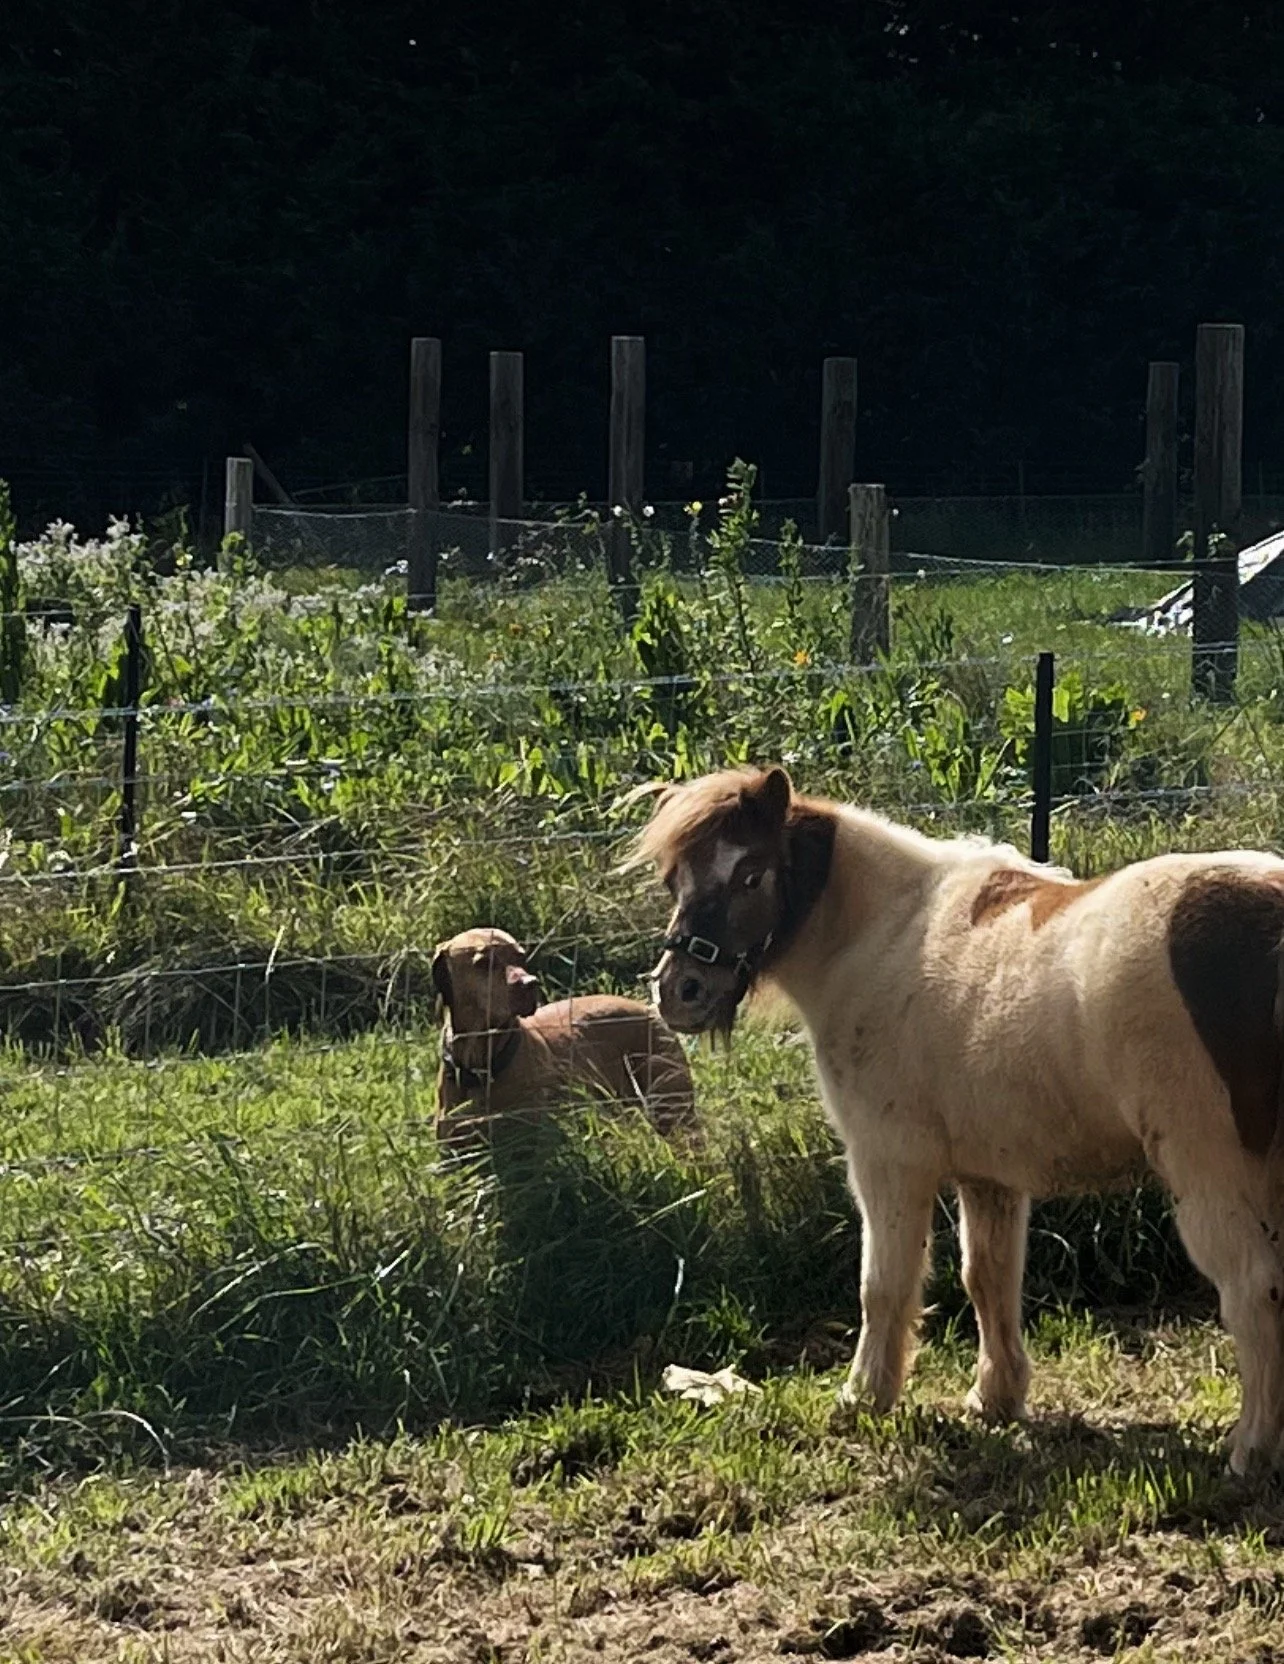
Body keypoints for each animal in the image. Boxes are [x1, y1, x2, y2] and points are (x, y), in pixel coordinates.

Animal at [630, 763, 1284, 1473]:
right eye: (674, 880)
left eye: (751, 873)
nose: (679, 993)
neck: (882, 937)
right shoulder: (989, 1177)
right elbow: (988, 1279)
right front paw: (995, 1397)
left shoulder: (888, 1164)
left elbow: (883, 1284)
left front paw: (864, 1397)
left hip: (1212, 1177)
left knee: (1253, 1291)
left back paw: (1252, 1449)